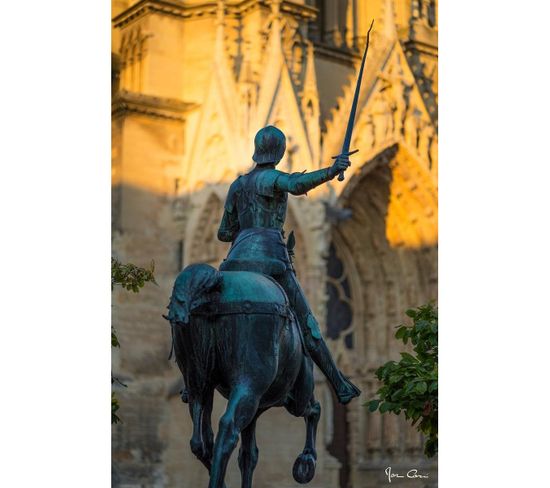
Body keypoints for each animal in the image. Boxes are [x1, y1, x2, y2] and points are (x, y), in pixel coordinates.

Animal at [166, 264, 322, 488]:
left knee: (200, 441)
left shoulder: (253, 411)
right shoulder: (295, 395)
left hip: (197, 378)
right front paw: (308, 459)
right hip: (253, 386)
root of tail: (218, 283)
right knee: (227, 428)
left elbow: (248, 456)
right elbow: (314, 410)